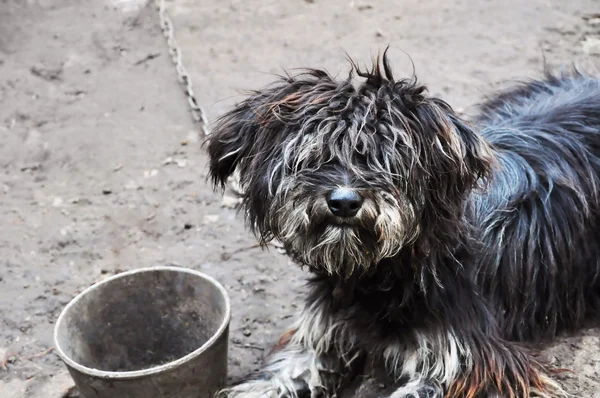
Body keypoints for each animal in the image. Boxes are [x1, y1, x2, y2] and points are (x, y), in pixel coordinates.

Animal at [206, 50, 600, 398]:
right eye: (314, 156)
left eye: (388, 160)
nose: (344, 202)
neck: (385, 275)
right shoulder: (322, 336)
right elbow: (280, 376)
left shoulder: (476, 365)